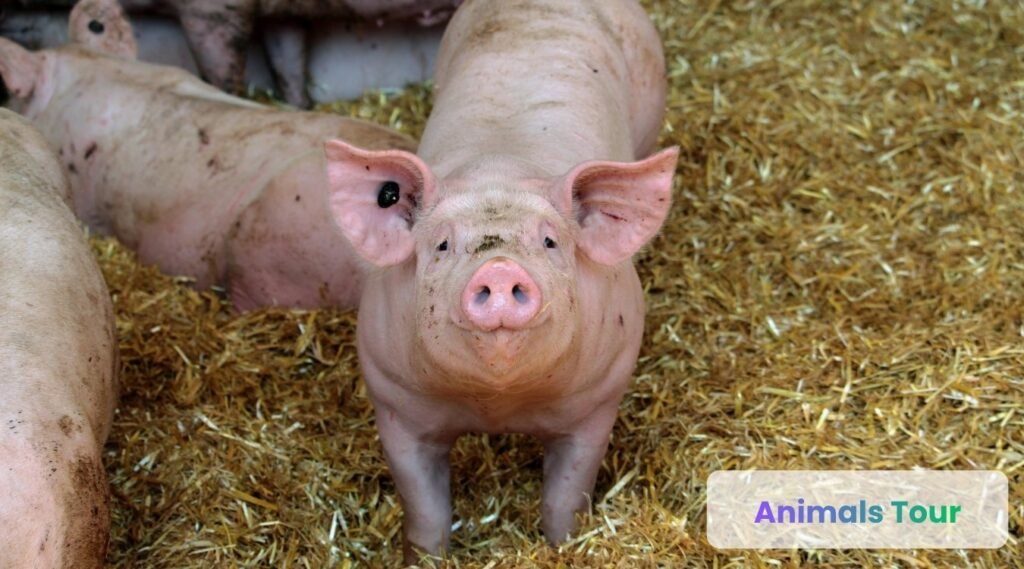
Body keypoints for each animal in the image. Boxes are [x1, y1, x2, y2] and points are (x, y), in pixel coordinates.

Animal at [321, 0, 679, 560]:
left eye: (550, 242)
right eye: (442, 245)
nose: (500, 267)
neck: (498, 404)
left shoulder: (598, 400)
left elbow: (565, 496)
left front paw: (561, 546)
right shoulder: (394, 401)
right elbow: (425, 508)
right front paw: (426, 558)